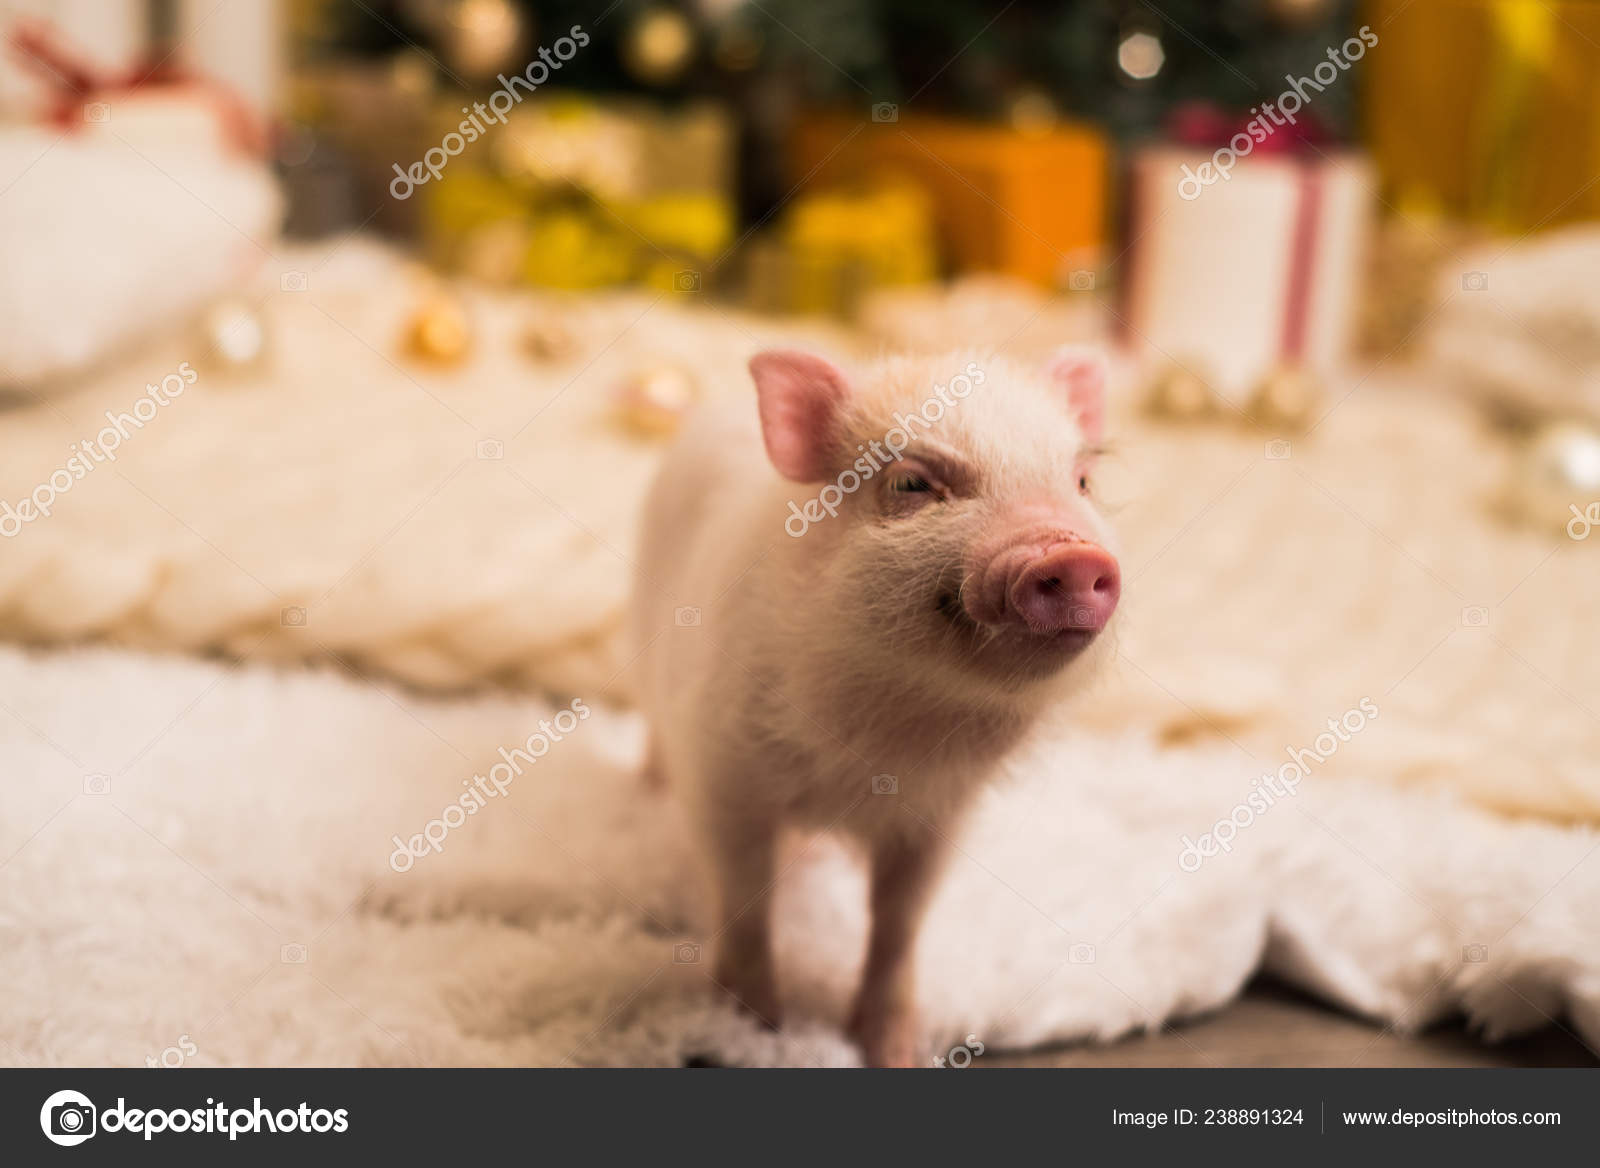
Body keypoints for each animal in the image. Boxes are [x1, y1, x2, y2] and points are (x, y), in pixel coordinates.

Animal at [630, 346, 1120, 1067]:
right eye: (912, 483)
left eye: (1082, 481)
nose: (1075, 553)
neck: (884, 740)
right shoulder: (724, 770)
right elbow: (746, 897)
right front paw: (757, 1029)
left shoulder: (938, 813)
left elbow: (899, 922)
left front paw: (891, 1051)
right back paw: (644, 789)